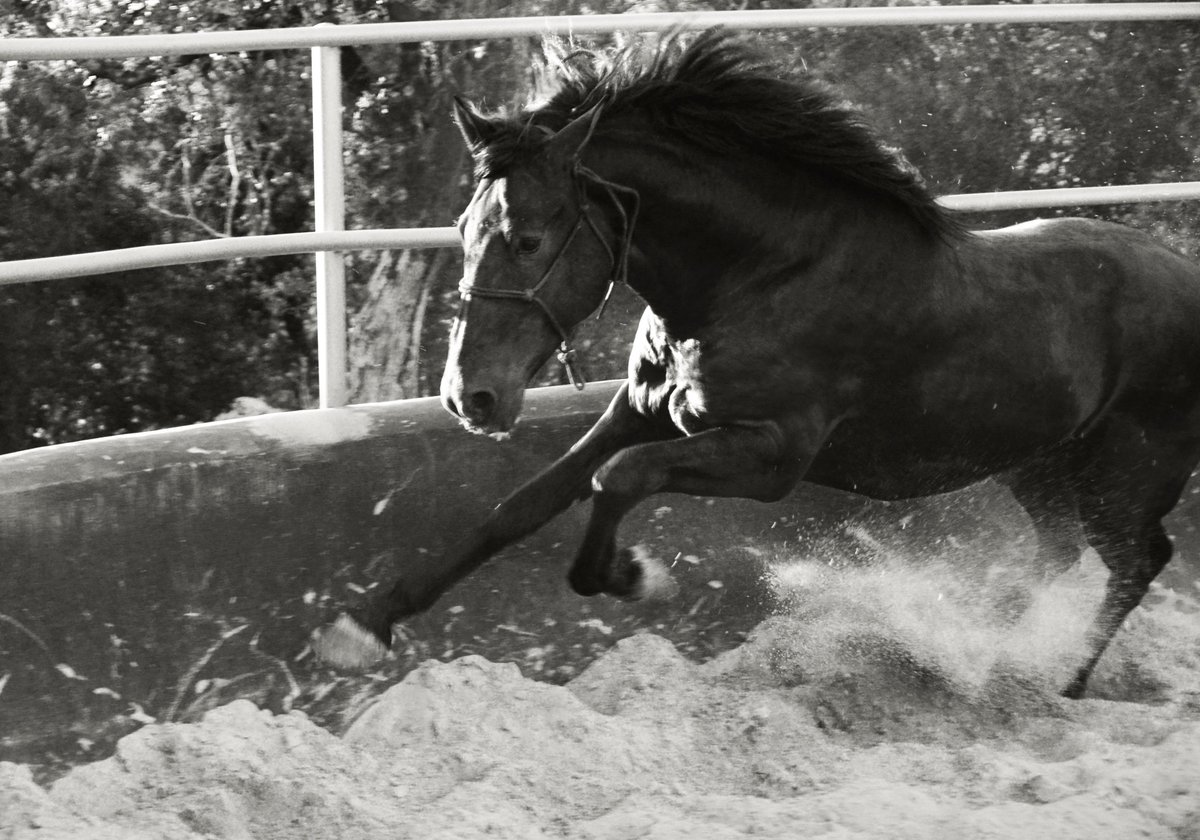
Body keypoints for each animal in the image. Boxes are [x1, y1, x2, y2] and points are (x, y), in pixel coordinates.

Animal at [314, 31, 1200, 696]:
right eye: (466, 230)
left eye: (528, 238)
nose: (471, 398)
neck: (760, 275)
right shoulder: (638, 412)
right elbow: (520, 506)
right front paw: (365, 625)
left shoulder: (771, 454)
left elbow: (618, 480)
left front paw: (635, 576)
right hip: (1036, 466)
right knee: (1059, 556)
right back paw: (991, 667)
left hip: (1124, 476)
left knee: (1137, 561)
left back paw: (1060, 682)